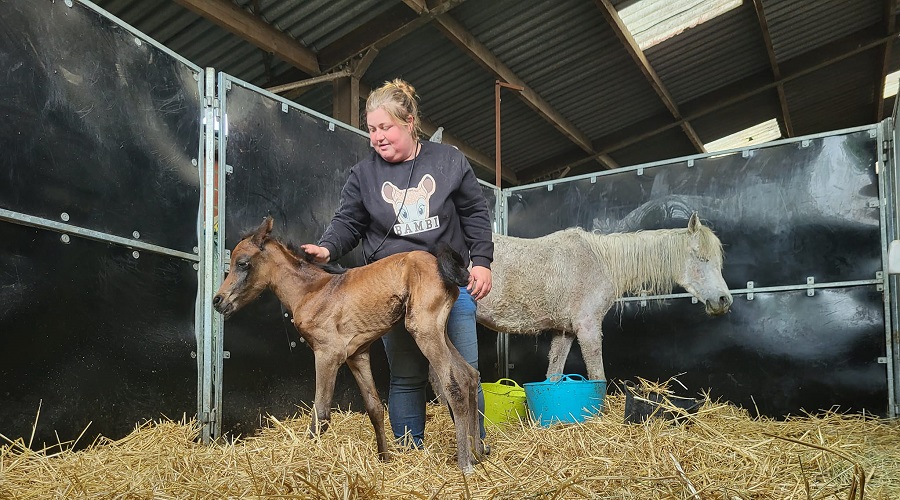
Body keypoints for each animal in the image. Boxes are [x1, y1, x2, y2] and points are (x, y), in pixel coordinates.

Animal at [213, 217, 486, 474]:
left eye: (243, 263)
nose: (218, 301)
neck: (312, 291)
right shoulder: (358, 354)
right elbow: (374, 408)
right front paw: (384, 460)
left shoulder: (327, 354)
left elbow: (321, 412)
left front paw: (305, 461)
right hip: (438, 330)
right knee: (470, 375)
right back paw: (477, 454)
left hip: (424, 328)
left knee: (454, 385)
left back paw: (465, 463)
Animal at [478, 213, 732, 380]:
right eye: (701, 258)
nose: (724, 300)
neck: (601, 262)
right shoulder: (588, 328)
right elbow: (597, 374)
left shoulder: (565, 331)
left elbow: (554, 374)